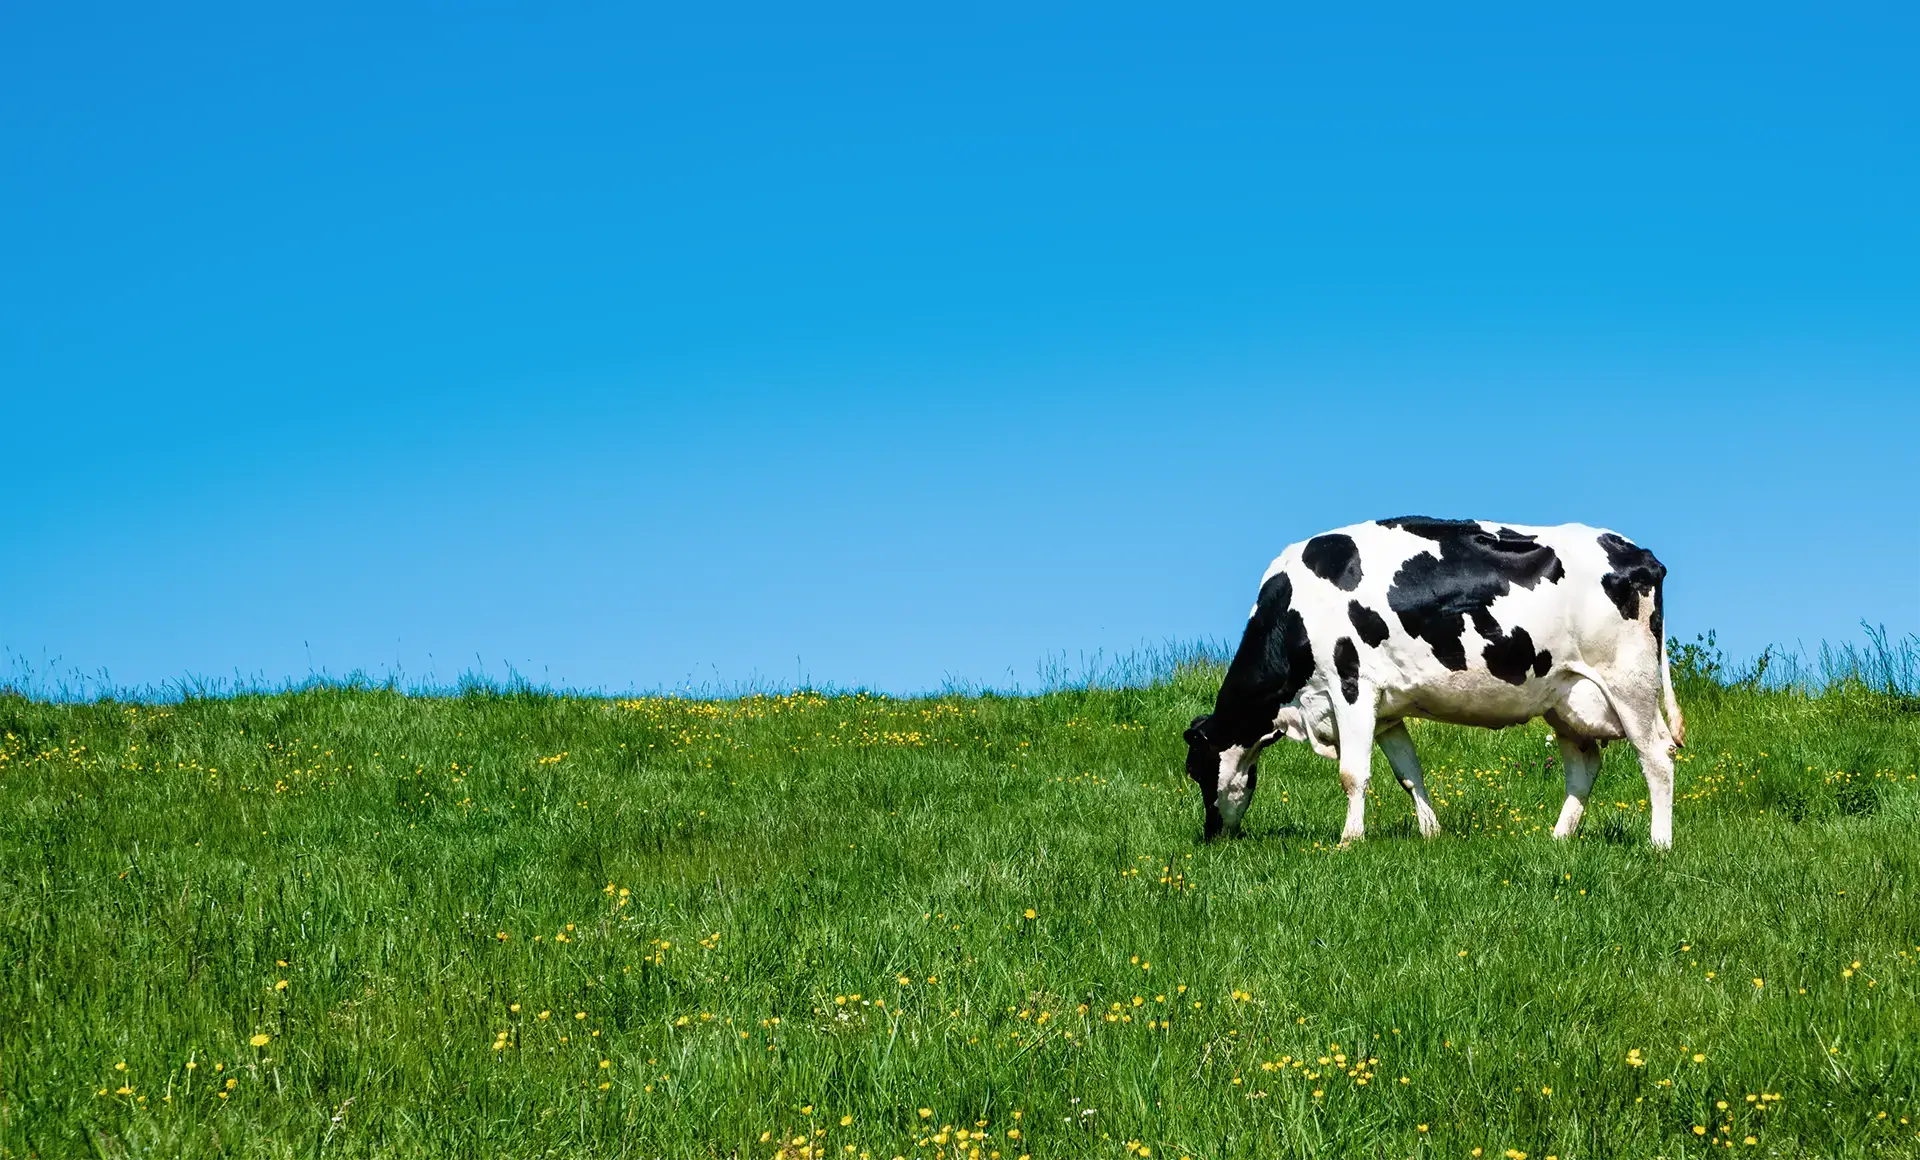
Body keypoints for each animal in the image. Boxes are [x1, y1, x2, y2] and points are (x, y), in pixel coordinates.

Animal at [1183, 518, 1685, 848]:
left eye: (1196, 769)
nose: (1211, 836)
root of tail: (1640, 554)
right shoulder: (1386, 712)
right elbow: (1408, 773)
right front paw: (1430, 832)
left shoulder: (1351, 686)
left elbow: (1352, 773)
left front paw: (1349, 840)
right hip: (1567, 698)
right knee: (1584, 763)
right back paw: (1557, 838)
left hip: (1629, 683)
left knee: (1657, 756)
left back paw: (1658, 844)